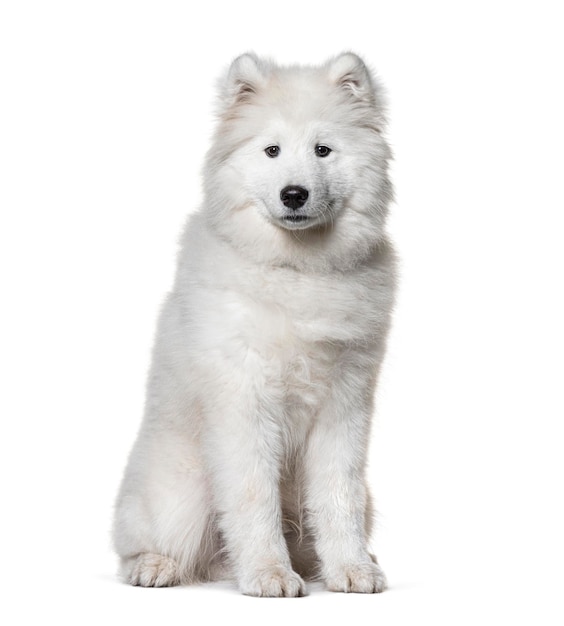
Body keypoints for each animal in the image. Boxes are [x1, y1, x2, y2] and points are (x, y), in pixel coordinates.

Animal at [113, 53, 396, 596]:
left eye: (323, 150)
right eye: (271, 150)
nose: (294, 194)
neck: (297, 269)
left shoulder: (344, 407)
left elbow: (338, 497)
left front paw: (351, 568)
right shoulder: (246, 405)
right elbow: (252, 500)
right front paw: (269, 574)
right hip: (181, 489)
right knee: (144, 540)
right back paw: (155, 566)